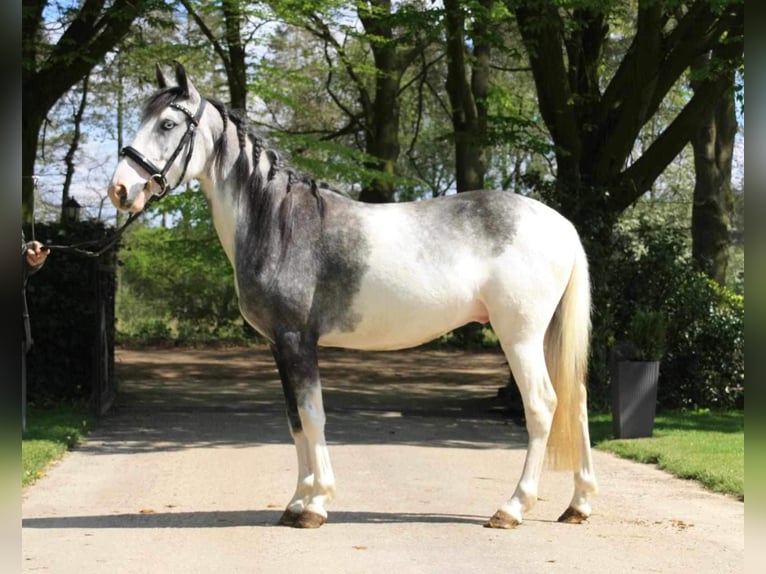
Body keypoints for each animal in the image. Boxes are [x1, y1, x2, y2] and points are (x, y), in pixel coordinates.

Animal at [108, 62, 600, 532]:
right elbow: (295, 421)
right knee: (576, 402)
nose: (120, 189)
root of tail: (561, 224)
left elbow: (313, 416)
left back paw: (512, 508)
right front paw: (295, 502)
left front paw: (316, 504)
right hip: (546, 336)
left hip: (519, 336)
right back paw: (578, 505)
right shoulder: (278, 345)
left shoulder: (297, 340)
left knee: (542, 405)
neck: (279, 223)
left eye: (168, 124)